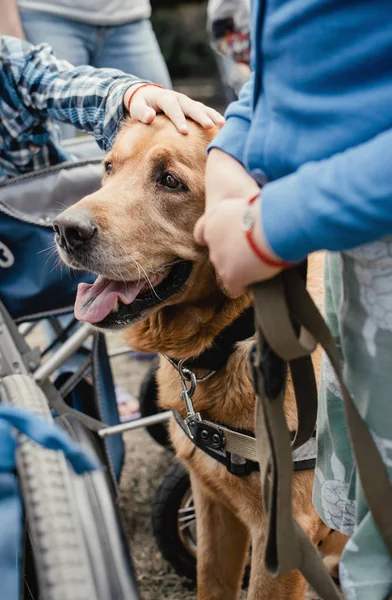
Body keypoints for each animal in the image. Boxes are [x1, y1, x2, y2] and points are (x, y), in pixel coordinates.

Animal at [54, 117, 344, 600]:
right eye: (109, 167)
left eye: (171, 181)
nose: (63, 229)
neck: (232, 340)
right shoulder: (211, 501)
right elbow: (211, 581)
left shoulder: (284, 538)